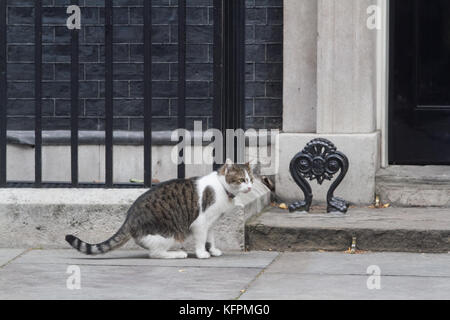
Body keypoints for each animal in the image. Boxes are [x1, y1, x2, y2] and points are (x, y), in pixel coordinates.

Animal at [64, 160, 253, 260]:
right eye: (242, 180)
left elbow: (211, 239)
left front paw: (213, 250)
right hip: (170, 235)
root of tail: (129, 218)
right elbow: (201, 240)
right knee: (155, 253)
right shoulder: (200, 224)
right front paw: (202, 253)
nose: (250, 187)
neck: (222, 187)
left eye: (251, 179)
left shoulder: (211, 223)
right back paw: (178, 254)